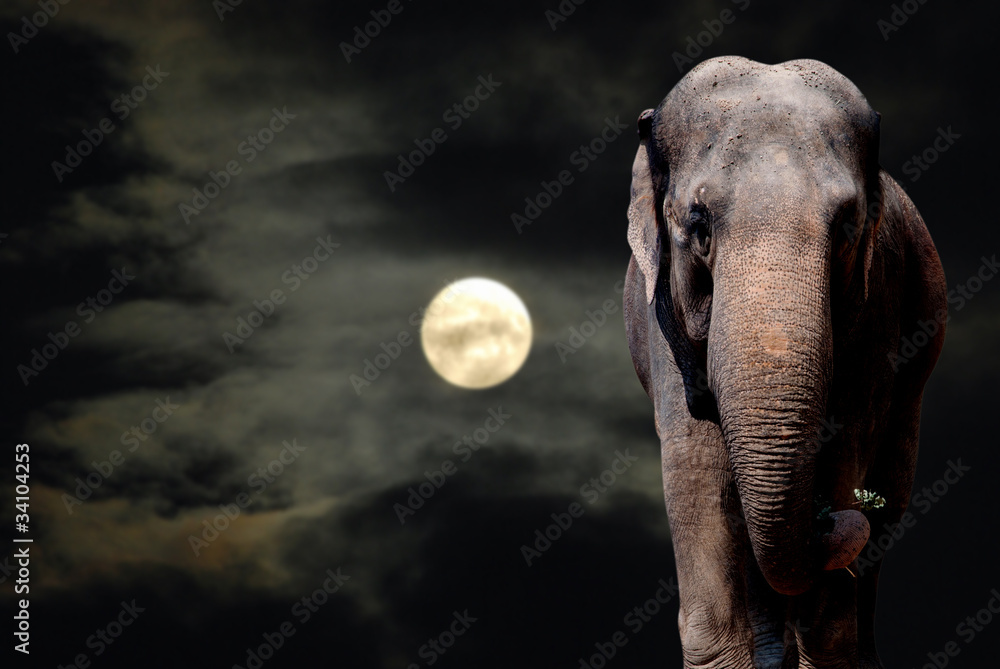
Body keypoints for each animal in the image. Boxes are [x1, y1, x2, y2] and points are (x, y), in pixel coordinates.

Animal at [623, 57, 946, 668]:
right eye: (699, 225)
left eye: (846, 226)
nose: (837, 516)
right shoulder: (665, 327)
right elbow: (697, 466)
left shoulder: (878, 312)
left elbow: (844, 445)